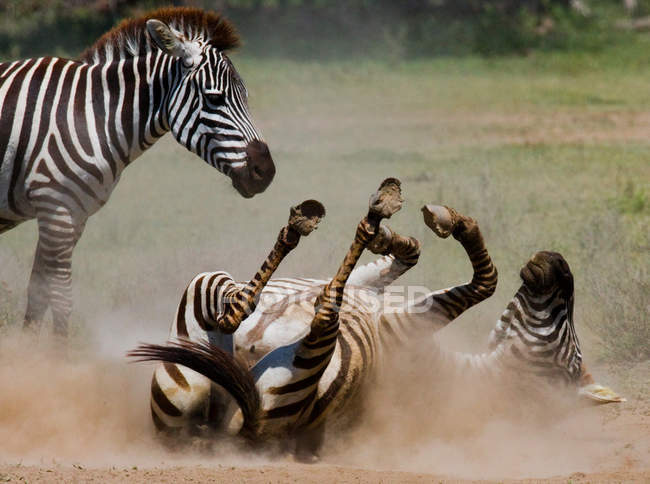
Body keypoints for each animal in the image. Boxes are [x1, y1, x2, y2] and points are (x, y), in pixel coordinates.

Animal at [0, 8, 274, 340]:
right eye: (214, 98)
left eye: (245, 96)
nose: (266, 171)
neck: (94, 116)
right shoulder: (56, 208)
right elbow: (60, 298)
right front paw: (54, 352)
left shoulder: (72, 214)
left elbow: (38, 295)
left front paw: (28, 347)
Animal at [129, 178, 620, 462]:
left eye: (572, 358)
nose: (557, 261)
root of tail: (233, 434)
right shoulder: (379, 293)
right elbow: (412, 257)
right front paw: (404, 233)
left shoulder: (403, 330)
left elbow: (486, 281)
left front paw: (406, 224)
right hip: (191, 351)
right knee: (242, 308)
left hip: (267, 336)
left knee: (268, 309)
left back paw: (324, 224)